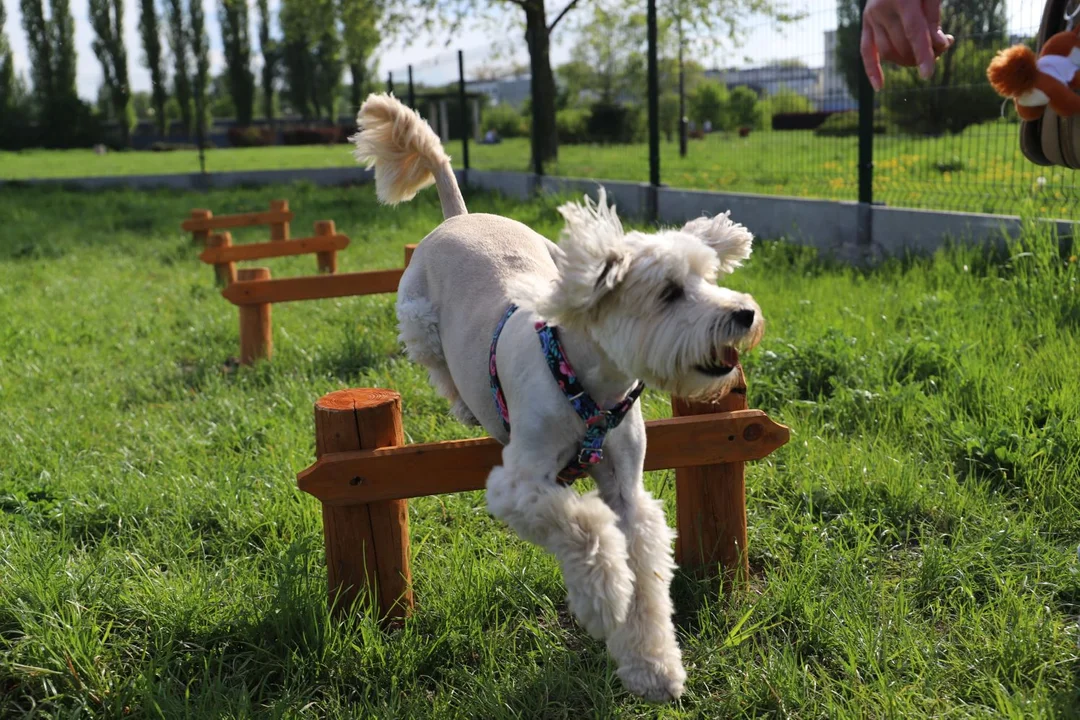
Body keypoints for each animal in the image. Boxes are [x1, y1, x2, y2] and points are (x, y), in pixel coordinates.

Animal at [349, 92, 764, 699]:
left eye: (708, 279)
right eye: (669, 292)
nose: (744, 314)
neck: (586, 383)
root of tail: (461, 216)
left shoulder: (628, 489)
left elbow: (644, 570)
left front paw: (653, 667)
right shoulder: (520, 480)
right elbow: (584, 526)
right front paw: (605, 599)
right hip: (417, 315)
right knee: (438, 364)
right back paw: (462, 402)